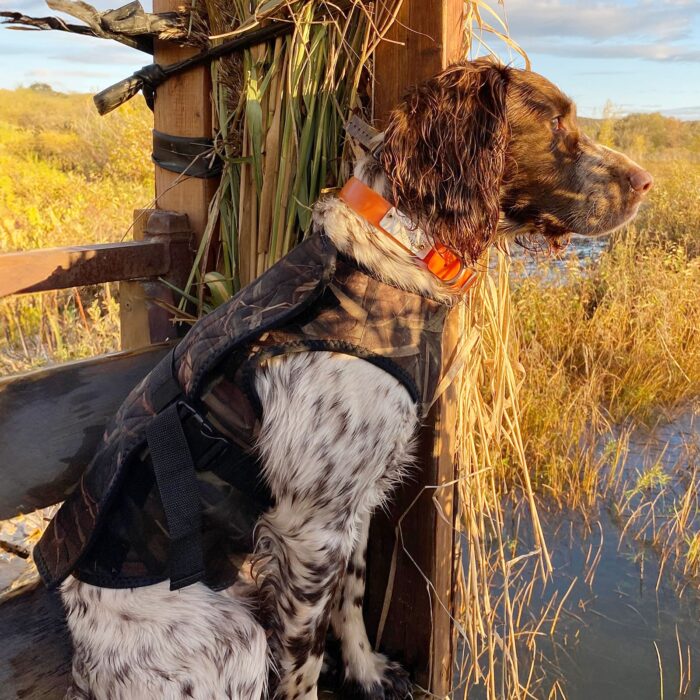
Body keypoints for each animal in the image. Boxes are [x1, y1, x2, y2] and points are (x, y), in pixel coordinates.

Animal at [57, 60, 652, 700]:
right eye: (557, 121)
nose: (647, 182)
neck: (397, 253)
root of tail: (85, 666)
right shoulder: (309, 528)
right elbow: (304, 663)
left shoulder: (355, 506)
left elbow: (354, 597)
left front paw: (366, 671)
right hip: (234, 635)